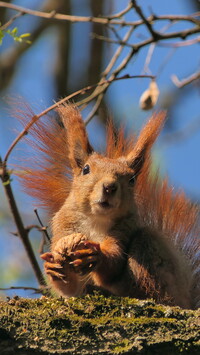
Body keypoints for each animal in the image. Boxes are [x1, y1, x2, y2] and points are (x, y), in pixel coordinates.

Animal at [18, 104, 198, 310]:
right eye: (86, 169)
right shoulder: (64, 226)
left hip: (152, 254)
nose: (110, 187)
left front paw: (95, 256)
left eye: (132, 179)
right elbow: (68, 287)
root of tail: (187, 299)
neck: (96, 219)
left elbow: (114, 259)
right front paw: (55, 267)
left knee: (151, 288)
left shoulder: (125, 227)